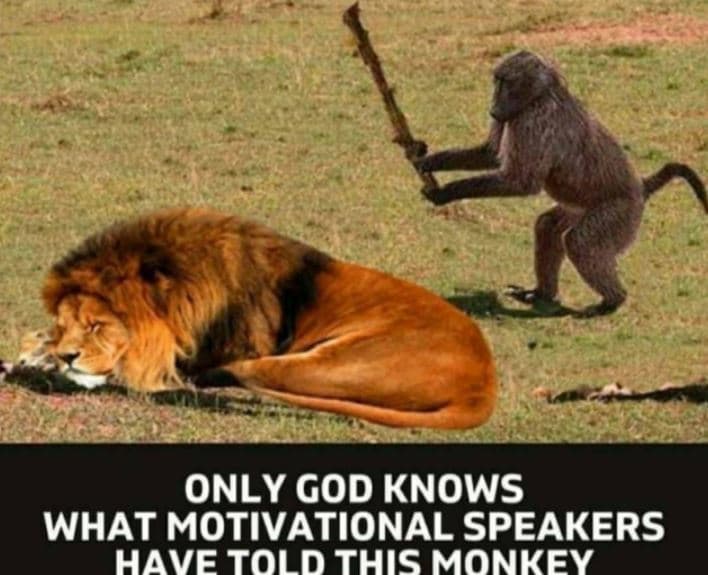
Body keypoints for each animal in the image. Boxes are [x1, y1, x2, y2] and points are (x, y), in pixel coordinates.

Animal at [415, 50, 707, 317]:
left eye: (504, 82)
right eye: (496, 81)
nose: (494, 108)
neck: (543, 93)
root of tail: (642, 187)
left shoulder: (535, 119)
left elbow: (521, 182)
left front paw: (443, 193)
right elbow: (490, 153)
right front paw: (426, 160)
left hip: (620, 212)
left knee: (580, 241)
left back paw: (612, 301)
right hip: (579, 207)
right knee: (547, 226)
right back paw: (542, 293)